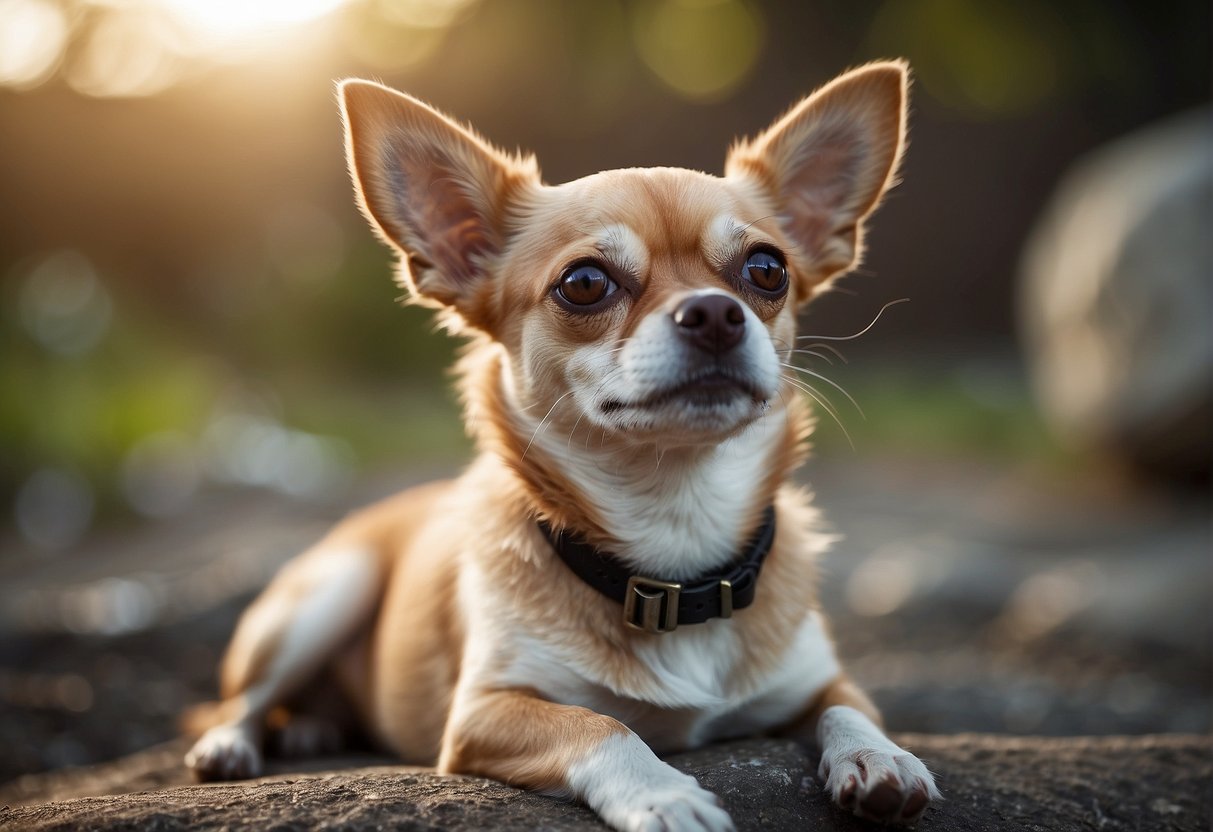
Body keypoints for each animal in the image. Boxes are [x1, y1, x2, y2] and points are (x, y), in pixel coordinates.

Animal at [181, 61, 936, 829]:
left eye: (766, 270)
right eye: (584, 283)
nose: (715, 312)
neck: (676, 534)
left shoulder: (820, 681)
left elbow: (850, 709)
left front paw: (881, 759)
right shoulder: (484, 714)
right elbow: (601, 726)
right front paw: (665, 795)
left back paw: (313, 726)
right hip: (324, 593)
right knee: (239, 700)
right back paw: (233, 745)